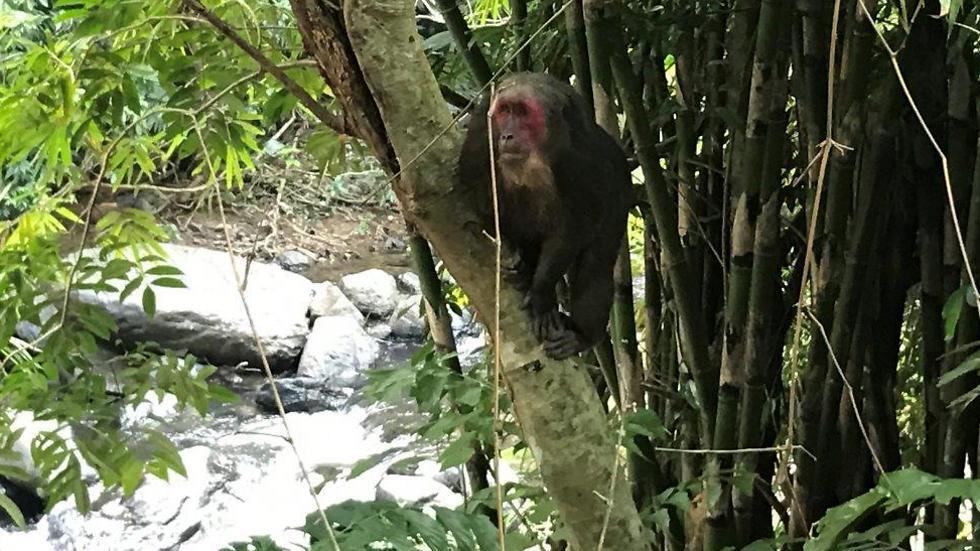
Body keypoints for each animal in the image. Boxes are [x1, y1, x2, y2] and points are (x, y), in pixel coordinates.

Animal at [456, 72, 633, 360]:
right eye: (505, 111)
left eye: (523, 113)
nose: (507, 135)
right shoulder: (483, 126)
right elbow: (477, 195)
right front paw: (522, 260)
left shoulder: (577, 155)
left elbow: (572, 227)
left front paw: (541, 292)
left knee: (595, 265)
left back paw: (583, 335)